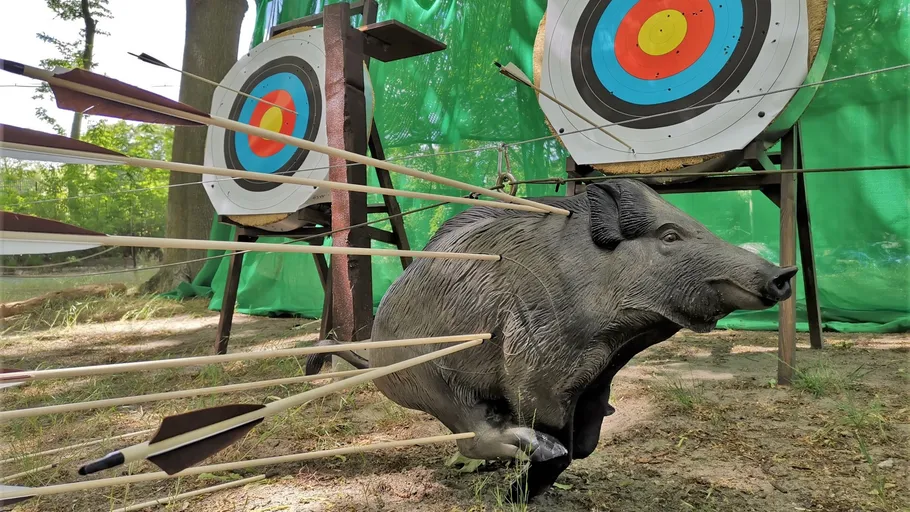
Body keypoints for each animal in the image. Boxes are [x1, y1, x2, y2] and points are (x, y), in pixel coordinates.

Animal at [305, 179, 796, 500]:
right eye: (670, 235)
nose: (782, 274)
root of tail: (375, 359)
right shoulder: (537, 363)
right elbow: (559, 438)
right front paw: (524, 484)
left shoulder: (598, 378)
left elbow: (588, 440)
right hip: (433, 382)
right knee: (473, 436)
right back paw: (527, 449)